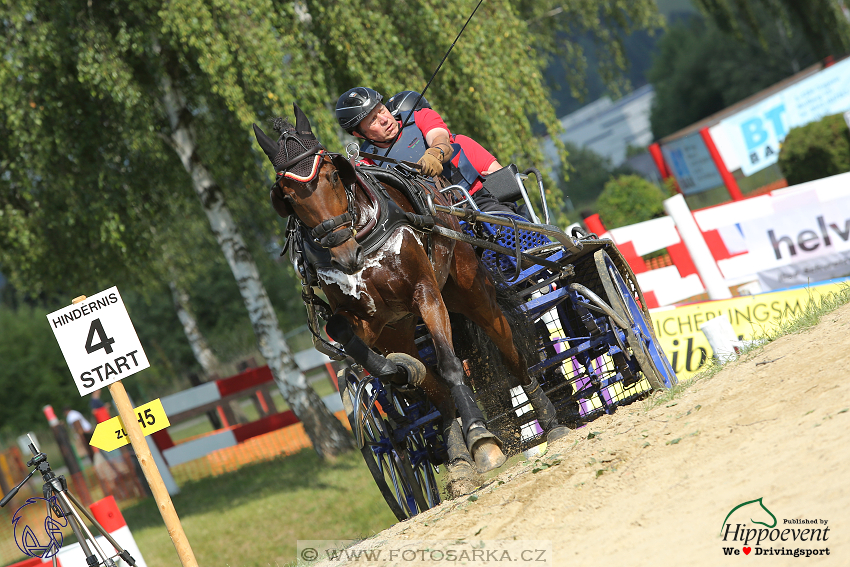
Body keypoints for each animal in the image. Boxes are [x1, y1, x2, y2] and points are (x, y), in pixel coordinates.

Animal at [255, 104, 568, 482]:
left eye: (332, 176)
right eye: (286, 195)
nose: (343, 253)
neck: (365, 238)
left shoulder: (426, 293)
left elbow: (449, 364)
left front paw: (480, 435)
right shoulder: (372, 322)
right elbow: (345, 333)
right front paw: (401, 373)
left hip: (470, 291)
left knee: (510, 352)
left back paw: (548, 420)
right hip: (400, 328)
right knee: (436, 392)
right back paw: (456, 453)